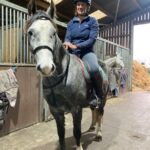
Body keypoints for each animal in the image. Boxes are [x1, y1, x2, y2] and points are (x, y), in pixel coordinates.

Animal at [26, 0, 115, 149]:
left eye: (54, 33)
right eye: (30, 32)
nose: (46, 67)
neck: (60, 79)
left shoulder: (76, 109)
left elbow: (76, 131)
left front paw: (79, 146)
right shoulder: (56, 111)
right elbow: (60, 133)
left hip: (103, 98)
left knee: (100, 113)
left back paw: (98, 134)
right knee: (94, 111)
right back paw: (91, 127)